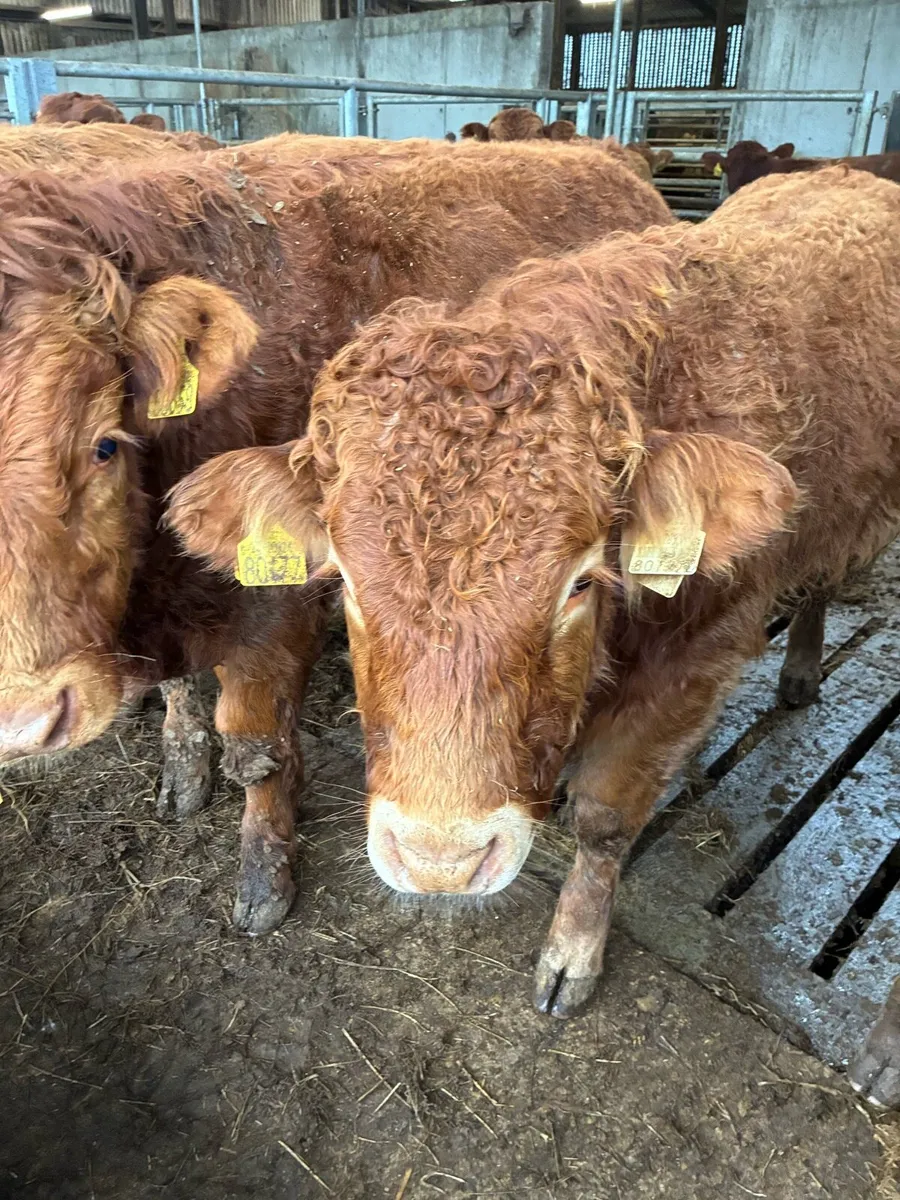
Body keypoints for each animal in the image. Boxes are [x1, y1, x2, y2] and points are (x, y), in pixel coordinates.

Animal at [0, 140, 672, 938]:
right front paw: (183, 772)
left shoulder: (273, 609)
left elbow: (256, 749)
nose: (25, 722)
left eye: (104, 444)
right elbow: (180, 695)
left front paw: (264, 877)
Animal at [170, 167, 900, 1016]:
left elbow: (606, 819)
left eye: (580, 580)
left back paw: (801, 669)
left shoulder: (699, 654)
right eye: (344, 579)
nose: (441, 860)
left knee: (826, 581)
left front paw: (572, 951)